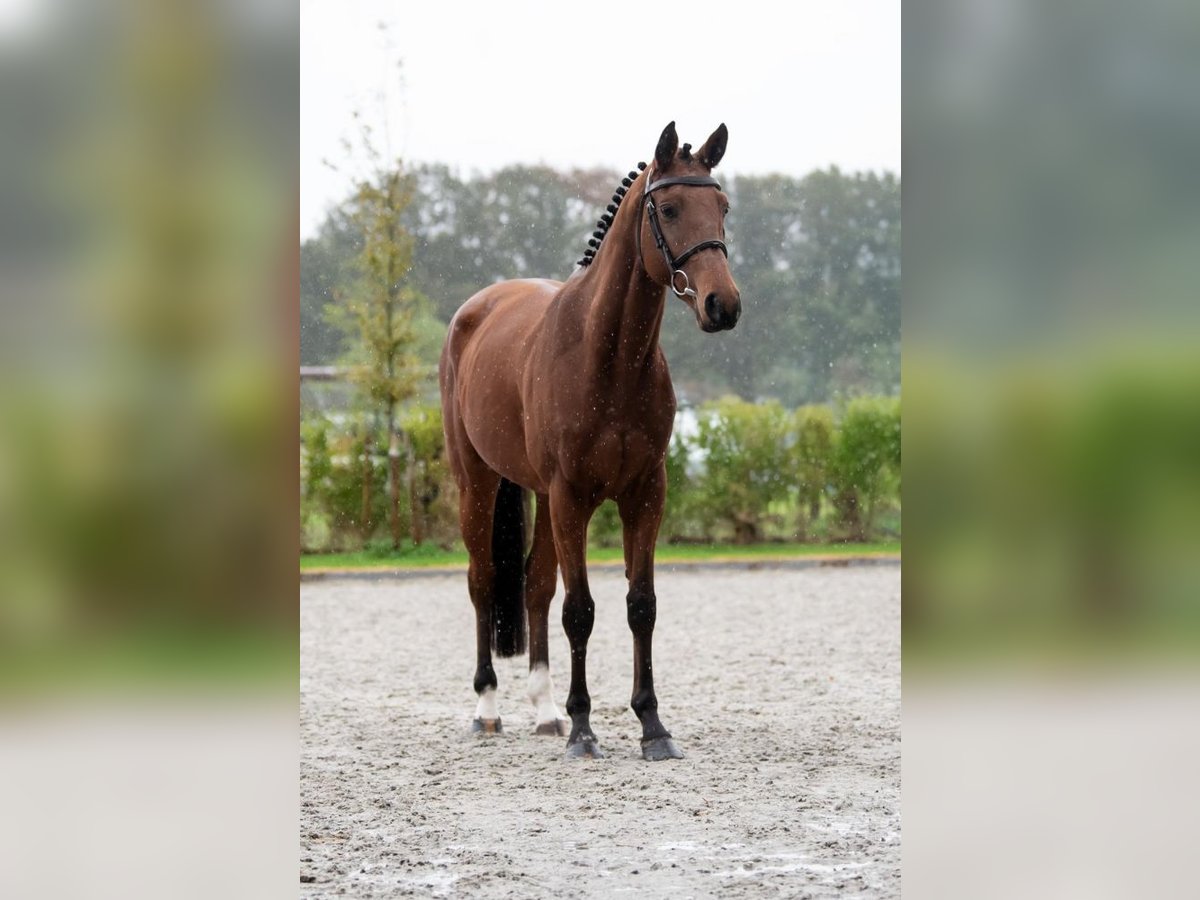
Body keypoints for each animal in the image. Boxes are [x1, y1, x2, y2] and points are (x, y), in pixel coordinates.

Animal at [441, 121, 739, 763]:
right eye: (669, 209)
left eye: (723, 207)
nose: (722, 305)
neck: (609, 357)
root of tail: (475, 311)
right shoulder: (571, 494)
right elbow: (580, 611)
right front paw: (584, 728)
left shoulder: (646, 493)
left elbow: (640, 605)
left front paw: (652, 725)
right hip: (478, 483)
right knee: (483, 581)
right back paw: (488, 709)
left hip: (540, 497)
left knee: (533, 585)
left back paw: (545, 711)